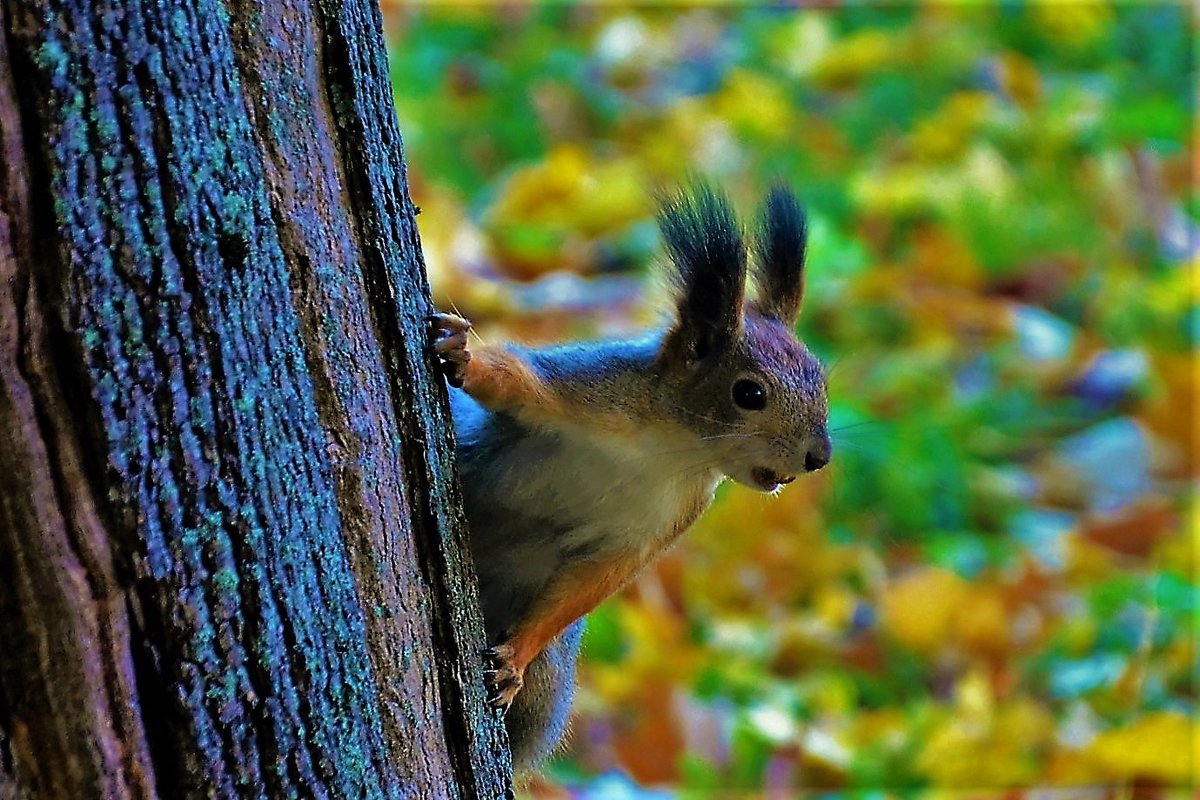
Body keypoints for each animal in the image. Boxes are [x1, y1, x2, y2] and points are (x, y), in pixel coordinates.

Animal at [427, 183, 830, 777]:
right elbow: (514, 382)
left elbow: (596, 579)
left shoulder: (662, 523)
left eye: (821, 379)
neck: (668, 450)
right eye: (749, 393)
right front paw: (465, 354)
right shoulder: (585, 389)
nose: (818, 457)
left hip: (549, 678)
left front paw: (514, 658)